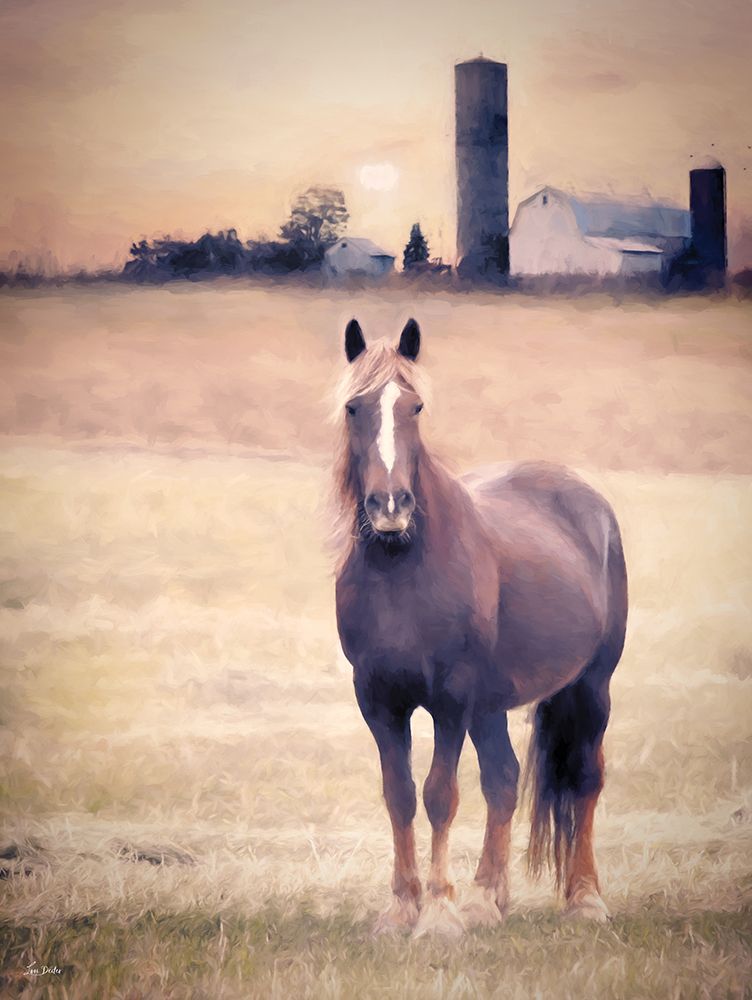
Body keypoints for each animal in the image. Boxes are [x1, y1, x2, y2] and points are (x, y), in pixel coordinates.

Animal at [332, 318, 628, 938]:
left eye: (415, 407)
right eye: (353, 406)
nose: (391, 506)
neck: (403, 566)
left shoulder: (451, 698)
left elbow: (439, 794)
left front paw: (438, 915)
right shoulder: (378, 700)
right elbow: (399, 795)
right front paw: (401, 909)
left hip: (592, 685)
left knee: (585, 779)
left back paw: (586, 899)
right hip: (491, 705)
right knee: (505, 781)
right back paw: (486, 899)